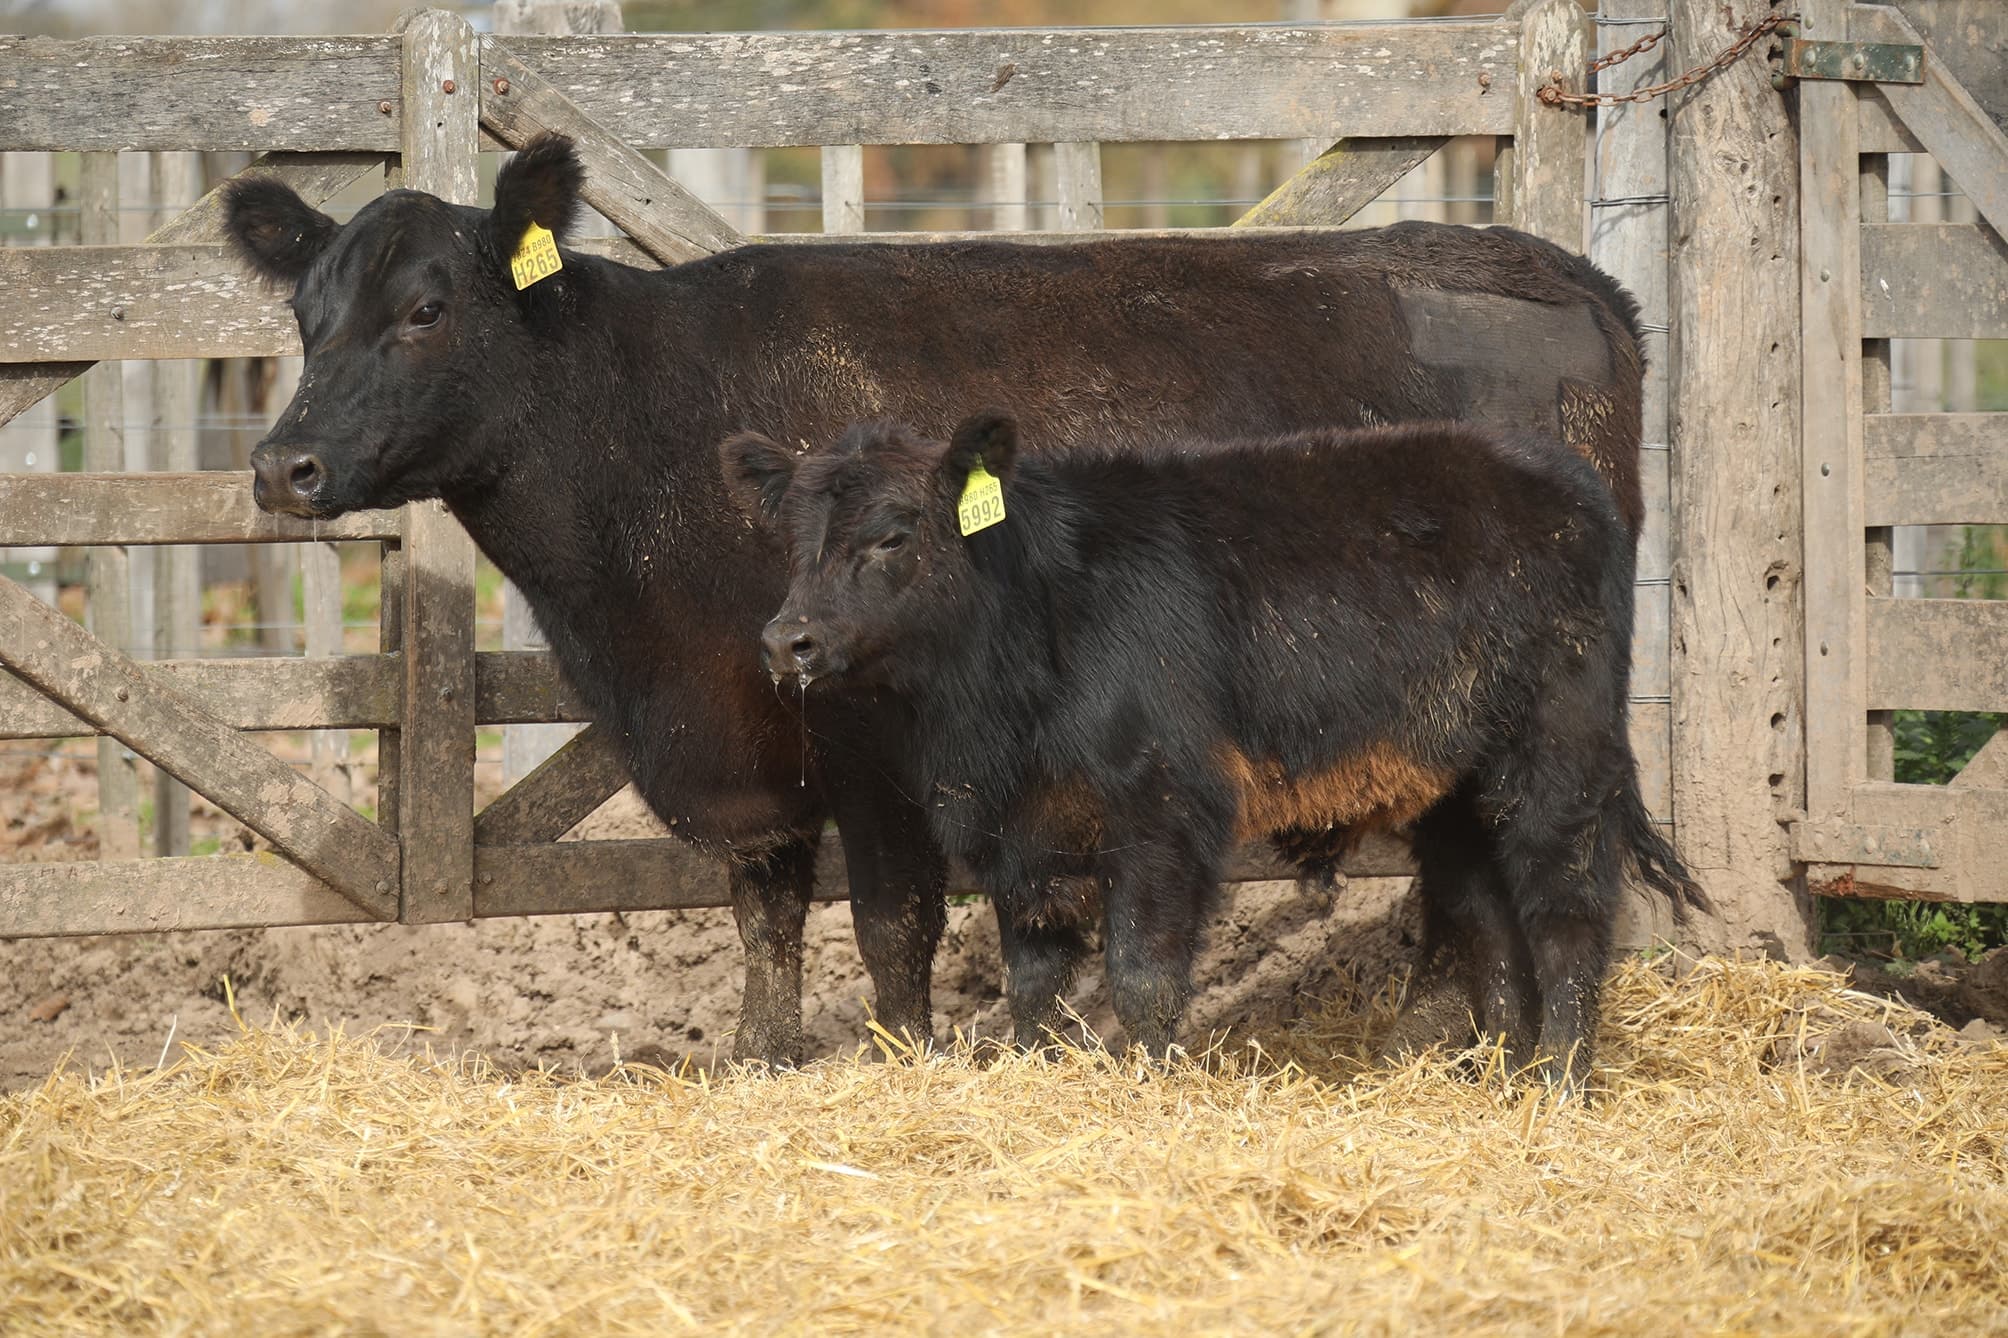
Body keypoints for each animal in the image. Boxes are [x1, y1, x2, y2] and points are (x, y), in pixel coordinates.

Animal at [728, 413, 1703, 1092]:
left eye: (892, 535)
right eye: (794, 544)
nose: (785, 641)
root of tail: (1559, 470)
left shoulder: (1164, 802)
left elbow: (1142, 975)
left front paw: (1152, 1088)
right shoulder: (1025, 834)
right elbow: (1033, 980)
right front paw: (1041, 1076)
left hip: (1560, 753)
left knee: (1568, 909)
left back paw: (1560, 1083)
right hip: (1456, 786)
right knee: (1486, 915)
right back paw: (1500, 1077)